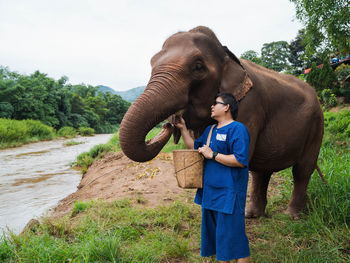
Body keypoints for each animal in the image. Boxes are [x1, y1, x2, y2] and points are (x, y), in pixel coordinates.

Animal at [119, 25, 324, 220]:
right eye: (152, 63)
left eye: (198, 67)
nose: (167, 124)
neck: (227, 57)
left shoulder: (249, 106)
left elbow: (240, 156)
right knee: (261, 172)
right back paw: (252, 215)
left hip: (317, 126)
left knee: (301, 171)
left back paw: (291, 215)